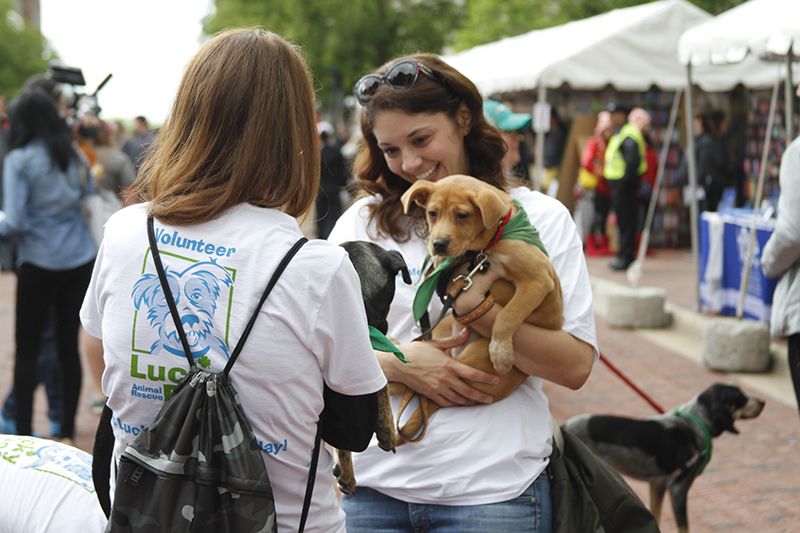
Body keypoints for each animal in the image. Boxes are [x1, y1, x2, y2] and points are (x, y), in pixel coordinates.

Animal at [396, 175, 564, 440]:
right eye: (432, 213)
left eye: (462, 215)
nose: (438, 244)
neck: (491, 243)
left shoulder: (537, 280)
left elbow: (508, 314)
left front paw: (501, 352)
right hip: (446, 330)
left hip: (472, 360)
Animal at [564, 382, 764, 532]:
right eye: (741, 397)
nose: (763, 402)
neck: (695, 423)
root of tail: (564, 426)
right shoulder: (678, 487)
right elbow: (684, 527)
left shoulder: (658, 485)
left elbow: (656, 515)